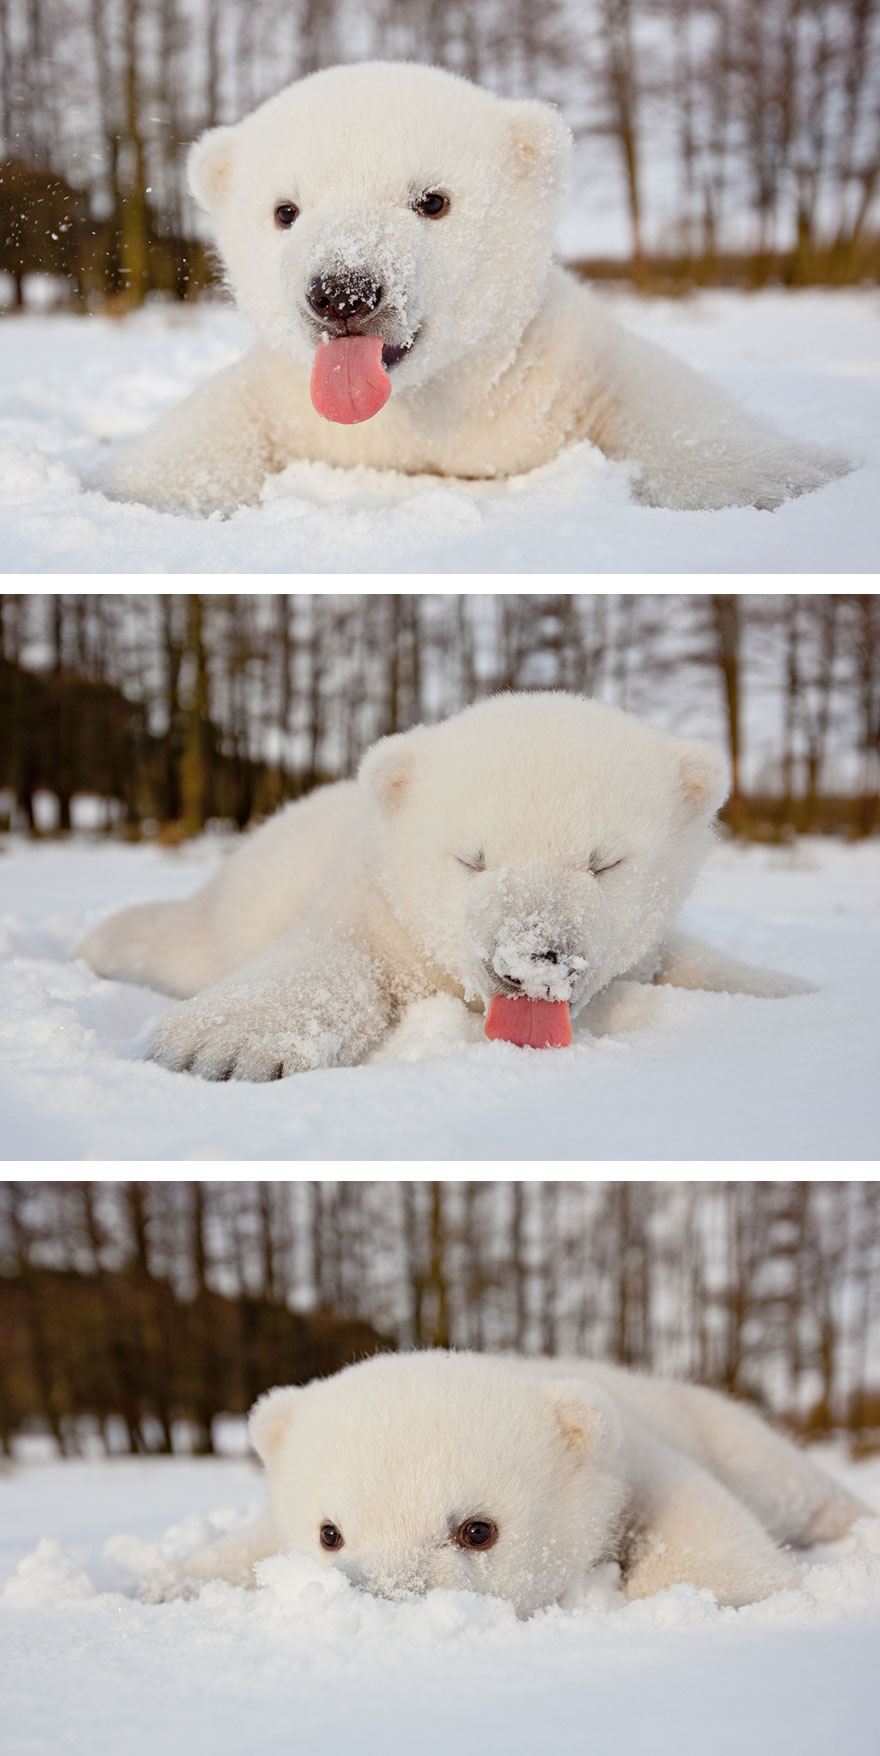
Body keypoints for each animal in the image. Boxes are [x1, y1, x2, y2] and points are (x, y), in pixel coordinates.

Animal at [76, 691, 812, 1082]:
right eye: (471, 859)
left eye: (604, 862)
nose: (533, 960)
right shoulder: (374, 902)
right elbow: (330, 955)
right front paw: (219, 1046)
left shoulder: (651, 942)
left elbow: (694, 961)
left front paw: (796, 992)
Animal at [107, 61, 844, 516]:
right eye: (284, 211)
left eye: (432, 200)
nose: (344, 291)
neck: (421, 408)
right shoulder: (289, 398)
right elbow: (208, 431)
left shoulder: (559, 366)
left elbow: (670, 410)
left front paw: (783, 479)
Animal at [163, 1351, 867, 1613]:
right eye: (329, 1533)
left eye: (479, 1530)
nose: (393, 1599)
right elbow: (246, 1550)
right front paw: (167, 1584)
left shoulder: (638, 1462)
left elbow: (697, 1531)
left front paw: (720, 1596)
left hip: (724, 1430)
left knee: (788, 1483)